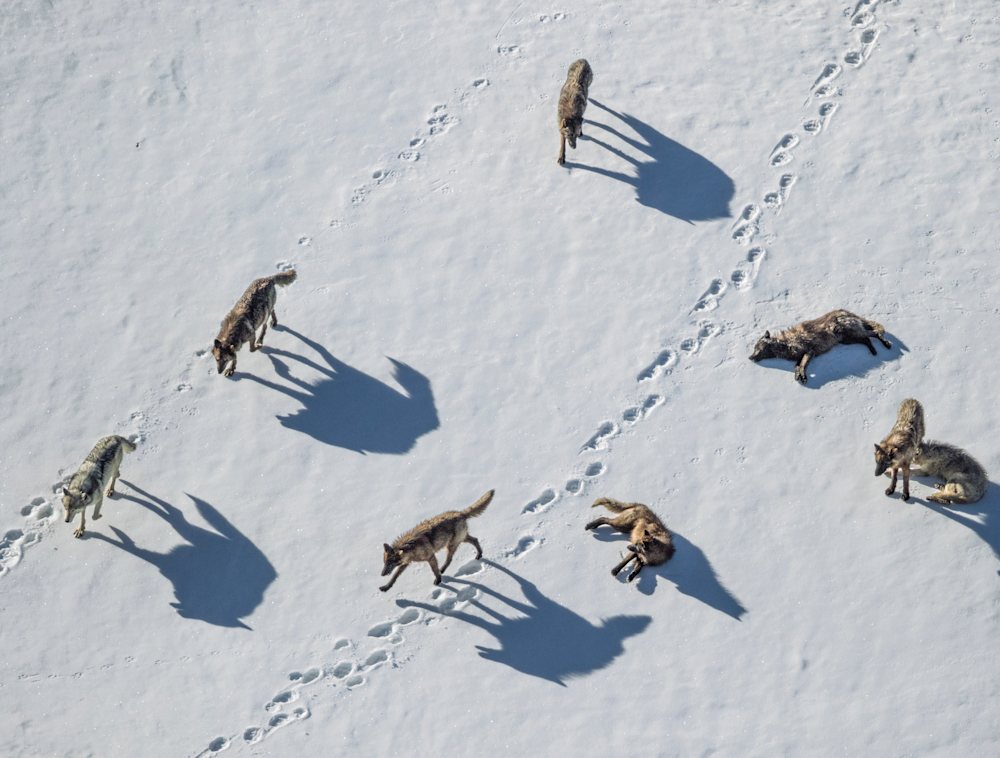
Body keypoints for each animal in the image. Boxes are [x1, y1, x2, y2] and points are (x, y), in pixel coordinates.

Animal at [749, 309, 892, 384]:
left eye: (757, 348)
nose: (750, 357)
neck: (786, 343)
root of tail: (848, 312)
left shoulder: (810, 351)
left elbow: (803, 365)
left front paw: (803, 376)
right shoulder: (800, 356)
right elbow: (798, 366)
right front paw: (798, 376)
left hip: (852, 333)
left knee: (875, 332)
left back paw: (886, 344)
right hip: (847, 339)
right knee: (866, 339)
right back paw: (873, 351)